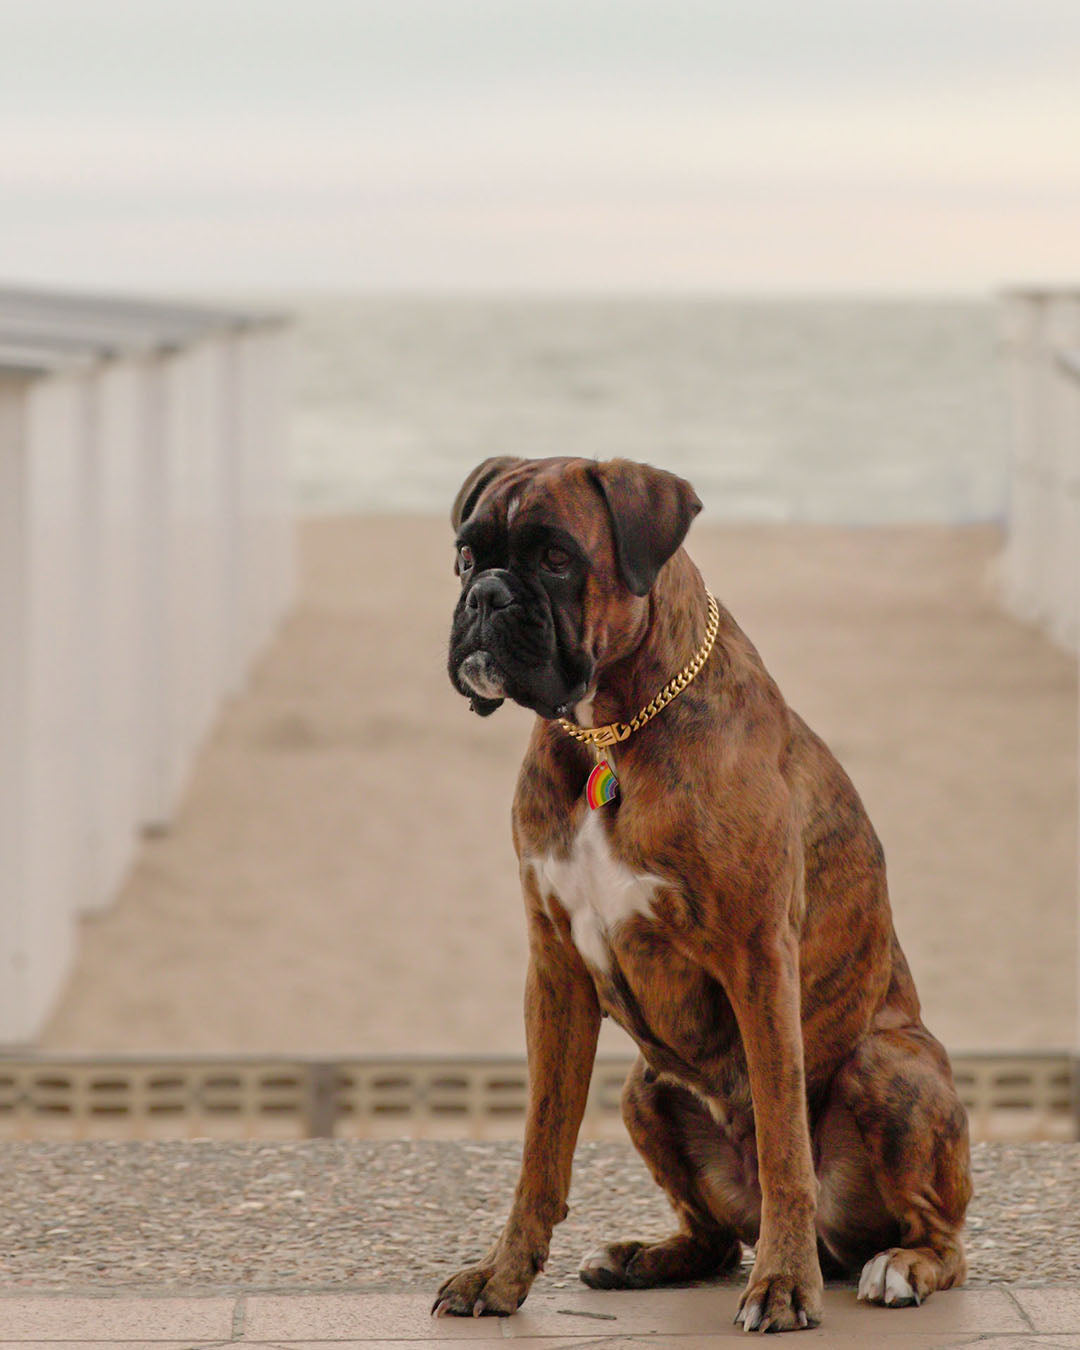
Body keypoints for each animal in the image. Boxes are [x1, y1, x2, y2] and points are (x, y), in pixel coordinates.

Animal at [434, 459, 972, 1333]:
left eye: (555, 558)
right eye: (465, 554)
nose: (486, 596)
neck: (609, 733)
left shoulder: (759, 961)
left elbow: (785, 1143)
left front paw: (783, 1287)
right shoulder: (555, 970)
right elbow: (541, 1152)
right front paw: (502, 1276)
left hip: (889, 1067)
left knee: (940, 1236)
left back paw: (897, 1265)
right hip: (645, 1089)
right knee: (716, 1238)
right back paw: (645, 1256)